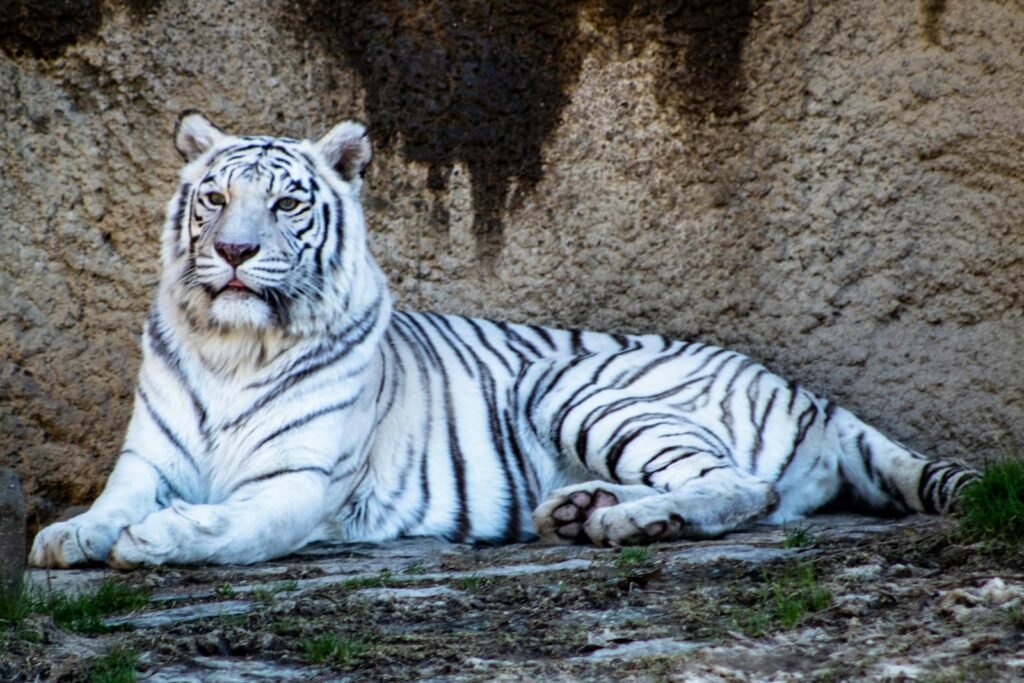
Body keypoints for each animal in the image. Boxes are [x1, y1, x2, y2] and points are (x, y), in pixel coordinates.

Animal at [29, 112, 977, 568]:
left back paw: (629, 521)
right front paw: (69, 536)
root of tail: (811, 395)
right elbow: (112, 501)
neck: (233, 345)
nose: (232, 252)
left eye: (288, 202)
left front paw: (155, 540)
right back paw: (583, 509)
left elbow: (233, 527)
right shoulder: (148, 459)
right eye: (216, 197)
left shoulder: (298, 480)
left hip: (572, 385)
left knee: (743, 486)